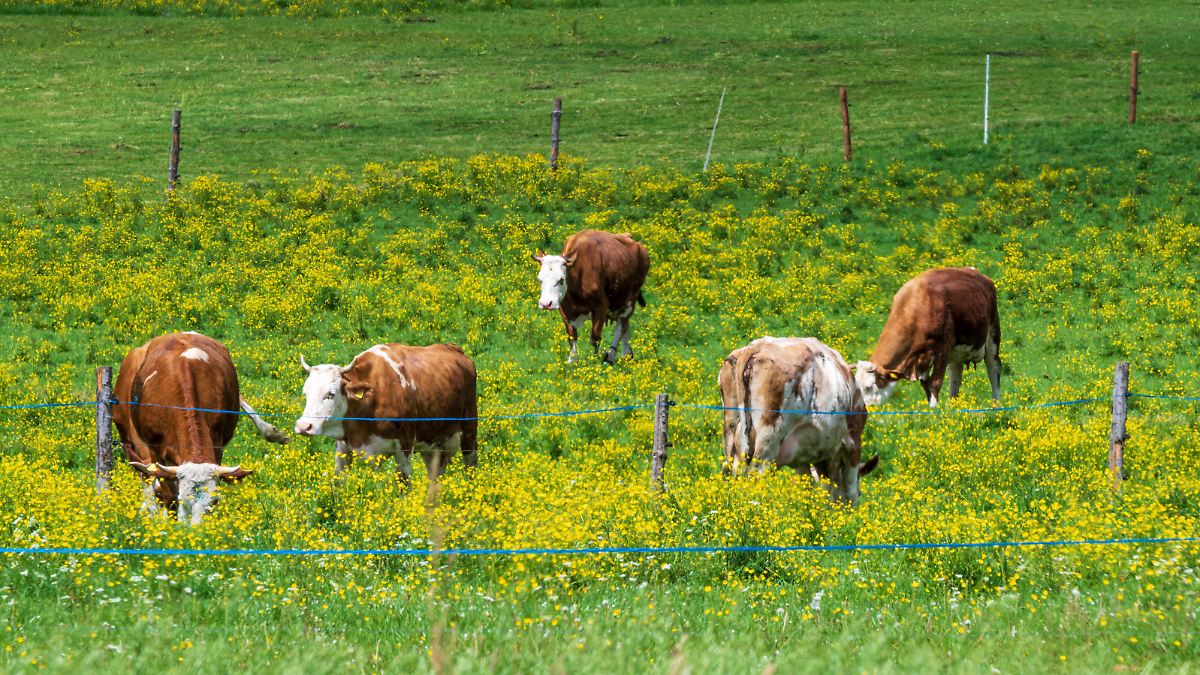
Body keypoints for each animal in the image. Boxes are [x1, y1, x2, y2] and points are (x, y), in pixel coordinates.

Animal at [113, 332, 290, 525]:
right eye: (183, 499)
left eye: (213, 501)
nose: (196, 530)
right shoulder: (156, 451)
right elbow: (166, 492)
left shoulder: (217, 443)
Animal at [294, 343, 478, 483]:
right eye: (305, 393)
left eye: (330, 394)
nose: (303, 426)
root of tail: (453, 348)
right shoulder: (343, 447)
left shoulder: (405, 444)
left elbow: (403, 483)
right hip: (433, 445)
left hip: (469, 430)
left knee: (470, 465)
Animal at [533, 229, 650, 364]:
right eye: (540, 279)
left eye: (561, 280)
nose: (546, 304)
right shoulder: (565, 309)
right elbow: (572, 336)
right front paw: (572, 360)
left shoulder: (600, 306)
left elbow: (595, 338)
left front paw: (595, 360)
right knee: (625, 327)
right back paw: (627, 354)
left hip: (629, 300)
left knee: (621, 326)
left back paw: (610, 356)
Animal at [718, 337, 878, 506]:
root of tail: (756, 347)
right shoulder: (853, 443)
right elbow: (848, 488)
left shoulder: (802, 455)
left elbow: (809, 486)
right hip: (768, 440)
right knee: (756, 475)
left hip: (731, 434)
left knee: (729, 471)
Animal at [854, 267, 1001, 408]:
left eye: (868, 387)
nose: (867, 408)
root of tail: (979, 274)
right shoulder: (922, 357)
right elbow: (926, 385)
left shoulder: (943, 348)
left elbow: (935, 383)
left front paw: (934, 409)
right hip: (957, 352)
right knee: (955, 376)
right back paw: (953, 406)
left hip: (993, 335)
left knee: (994, 369)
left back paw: (996, 404)